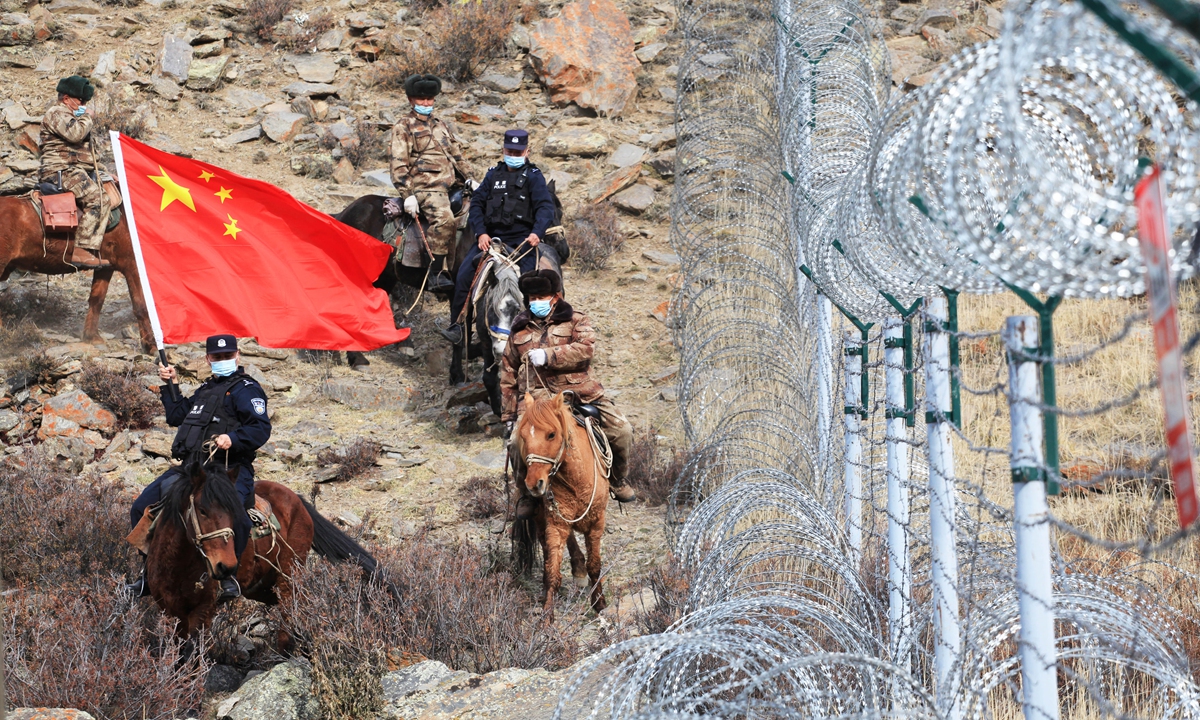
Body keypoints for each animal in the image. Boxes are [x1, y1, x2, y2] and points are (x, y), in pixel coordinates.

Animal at [0, 194, 154, 350]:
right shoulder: (132, 264)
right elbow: (141, 305)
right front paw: (151, 345)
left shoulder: (106, 267)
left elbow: (97, 300)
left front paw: (92, 337)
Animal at [145, 458, 379, 638]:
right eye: (202, 510)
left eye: (234, 512)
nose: (225, 567)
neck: (177, 565)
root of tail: (298, 501)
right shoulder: (170, 610)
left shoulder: (202, 612)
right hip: (260, 586)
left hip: (288, 575)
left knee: (289, 616)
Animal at [513, 391, 609, 614]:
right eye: (523, 436)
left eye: (551, 434)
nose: (533, 484)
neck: (577, 480)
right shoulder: (556, 524)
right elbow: (552, 572)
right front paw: (547, 616)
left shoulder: (597, 523)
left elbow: (595, 564)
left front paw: (599, 603)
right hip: (541, 519)